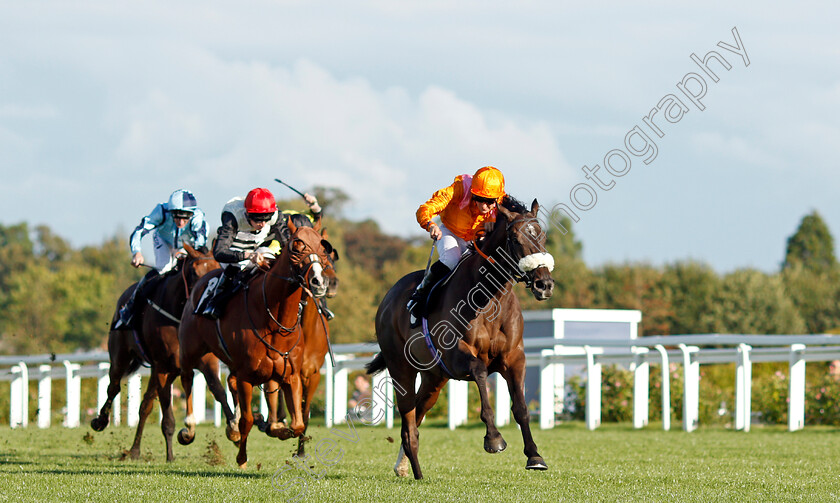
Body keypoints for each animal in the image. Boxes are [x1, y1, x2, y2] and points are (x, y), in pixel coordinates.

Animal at [90, 242, 220, 462]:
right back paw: (100, 421)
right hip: (120, 357)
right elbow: (167, 419)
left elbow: (217, 388)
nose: (206, 298)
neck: (178, 317)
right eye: (194, 272)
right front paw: (171, 456)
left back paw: (134, 450)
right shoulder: (162, 367)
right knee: (113, 387)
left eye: (218, 268)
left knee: (144, 407)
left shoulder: (195, 362)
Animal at [177, 220, 334, 468]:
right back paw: (189, 428)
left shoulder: (292, 374)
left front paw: (278, 429)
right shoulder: (246, 376)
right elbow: (248, 420)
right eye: (296, 245)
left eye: (323, 247)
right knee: (188, 378)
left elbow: (298, 423)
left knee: (229, 383)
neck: (276, 322)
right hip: (190, 351)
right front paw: (242, 457)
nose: (319, 281)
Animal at [366, 198, 552, 480]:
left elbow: (521, 407)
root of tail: (387, 299)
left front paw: (534, 455)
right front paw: (494, 438)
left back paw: (404, 466)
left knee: (417, 415)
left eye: (542, 236)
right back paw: (416, 472)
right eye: (516, 239)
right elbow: (480, 372)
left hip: (434, 378)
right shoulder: (457, 356)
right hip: (401, 369)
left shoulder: (514, 357)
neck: (490, 299)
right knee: (409, 424)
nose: (545, 284)